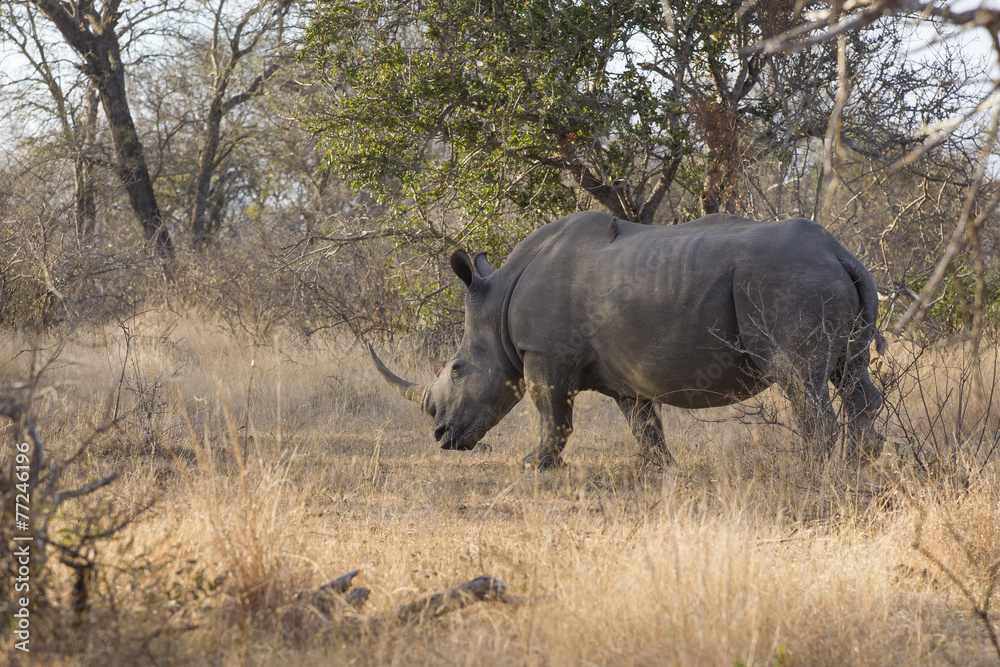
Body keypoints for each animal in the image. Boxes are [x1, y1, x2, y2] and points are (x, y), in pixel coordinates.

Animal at [370, 211, 884, 469]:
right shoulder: (624, 372)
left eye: (456, 370)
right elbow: (642, 422)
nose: (441, 437)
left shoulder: (544, 352)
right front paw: (658, 468)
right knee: (850, 374)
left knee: (800, 379)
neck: (495, 306)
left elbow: (552, 413)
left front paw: (533, 464)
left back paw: (814, 469)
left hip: (787, 279)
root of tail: (839, 251)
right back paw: (862, 461)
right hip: (819, 275)